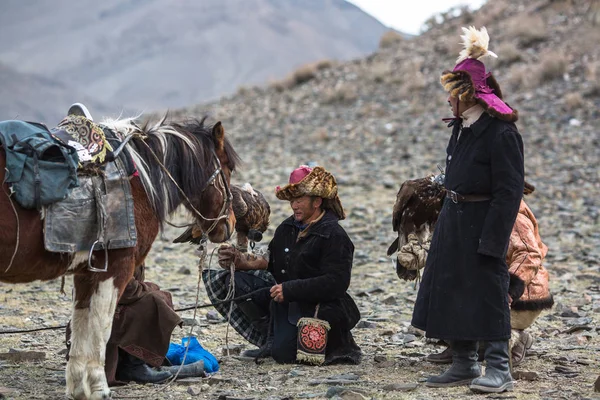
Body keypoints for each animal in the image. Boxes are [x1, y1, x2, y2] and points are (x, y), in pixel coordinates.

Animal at [0, 114, 239, 398]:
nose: (231, 224)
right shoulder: (117, 270)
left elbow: (81, 326)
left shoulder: (86, 273)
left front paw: (78, 387)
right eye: (228, 168)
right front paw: (99, 387)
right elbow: (101, 328)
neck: (140, 182)